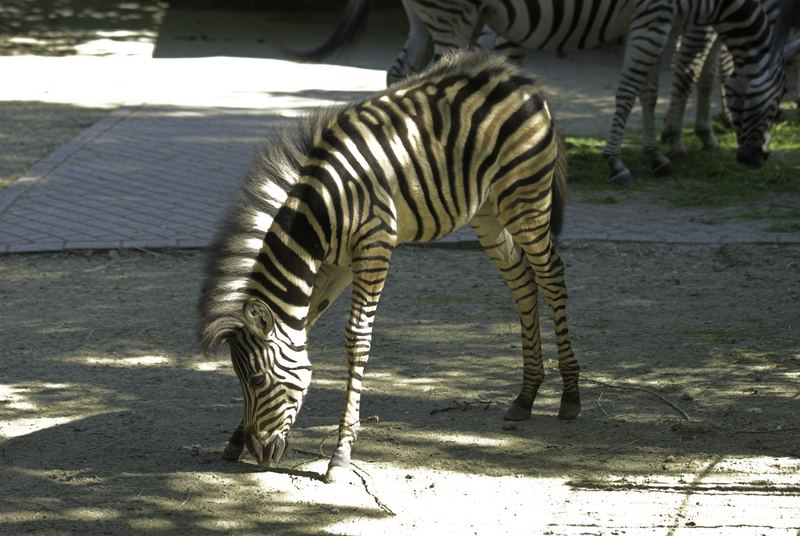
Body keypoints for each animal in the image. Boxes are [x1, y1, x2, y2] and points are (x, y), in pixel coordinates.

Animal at [197, 51, 580, 486]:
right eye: (240, 379)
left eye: (258, 379)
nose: (259, 453)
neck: (320, 216)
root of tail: (517, 76)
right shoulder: (336, 264)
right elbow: (305, 323)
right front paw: (235, 437)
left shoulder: (374, 246)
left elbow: (356, 339)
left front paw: (341, 454)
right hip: (487, 211)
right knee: (521, 279)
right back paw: (526, 395)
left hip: (524, 198)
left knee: (551, 275)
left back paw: (570, 395)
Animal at [304, 0, 800, 184]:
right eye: (777, 105)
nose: (757, 158)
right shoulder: (656, 16)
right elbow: (656, 82)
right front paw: (623, 160)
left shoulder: (663, 20)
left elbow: (650, 88)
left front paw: (659, 152)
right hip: (452, 14)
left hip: (425, 17)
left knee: (399, 77)